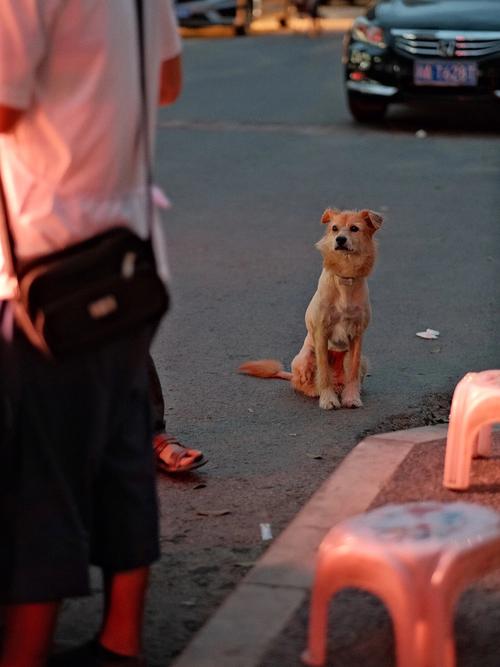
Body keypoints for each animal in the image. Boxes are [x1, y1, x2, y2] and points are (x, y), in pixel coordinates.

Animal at [238, 207, 382, 408]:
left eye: (354, 228)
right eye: (334, 228)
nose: (340, 240)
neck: (345, 278)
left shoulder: (357, 334)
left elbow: (352, 373)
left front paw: (352, 397)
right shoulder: (321, 332)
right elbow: (323, 372)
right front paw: (327, 399)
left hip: (363, 360)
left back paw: (343, 390)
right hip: (303, 358)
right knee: (302, 382)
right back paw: (316, 391)